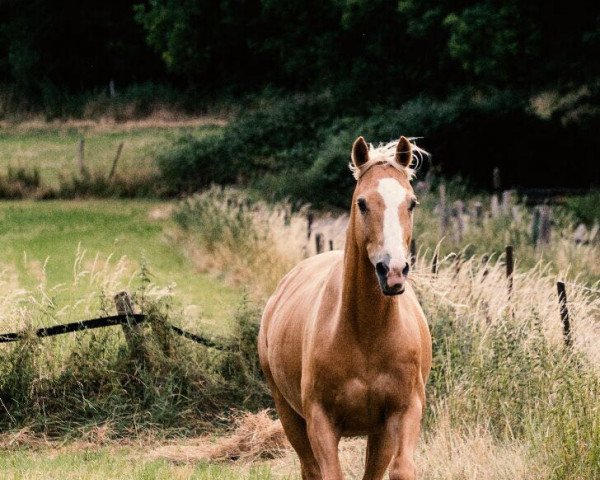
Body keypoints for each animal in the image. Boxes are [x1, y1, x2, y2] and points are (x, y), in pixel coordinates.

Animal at [258, 136, 432, 480]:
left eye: (412, 203)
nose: (393, 271)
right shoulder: (320, 421)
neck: (366, 334)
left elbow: (401, 469)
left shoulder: (404, 412)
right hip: (289, 416)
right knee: (309, 468)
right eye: (362, 203)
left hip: (379, 433)